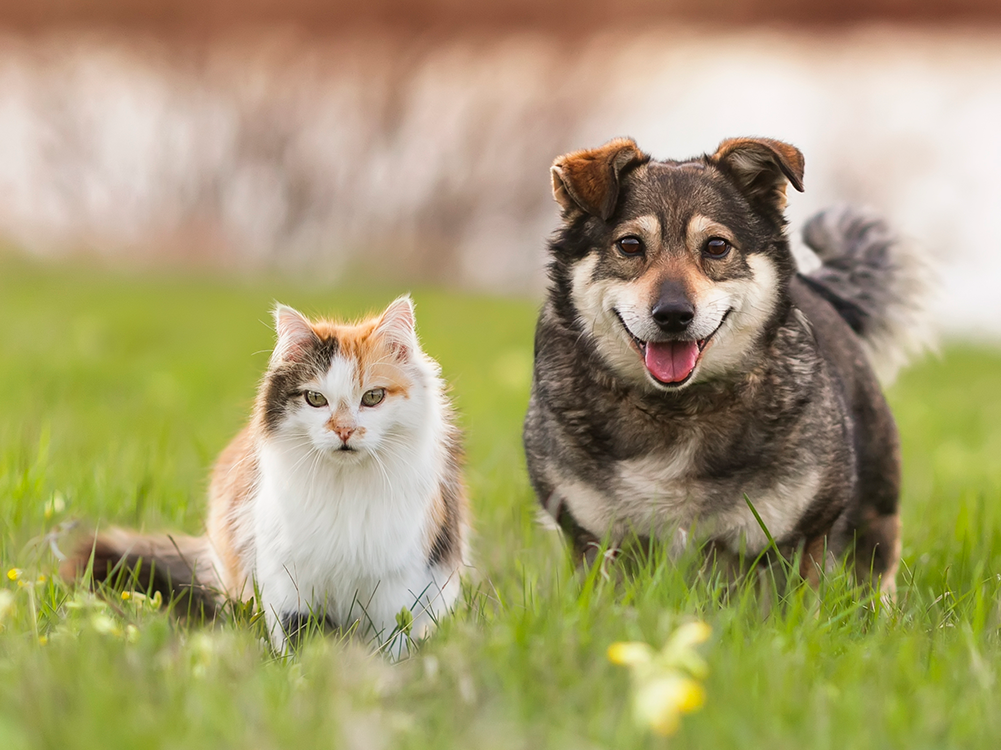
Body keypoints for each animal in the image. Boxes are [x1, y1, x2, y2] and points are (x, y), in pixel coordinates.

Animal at [68, 296, 466, 652]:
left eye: (373, 397)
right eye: (316, 399)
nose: (344, 431)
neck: (344, 488)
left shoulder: (395, 585)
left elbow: (387, 644)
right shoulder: (289, 576)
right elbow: (297, 637)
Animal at [524, 133, 928, 592]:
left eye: (716, 246)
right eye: (630, 245)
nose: (673, 315)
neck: (675, 409)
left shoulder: (800, 536)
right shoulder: (596, 539)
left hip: (876, 507)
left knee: (876, 572)